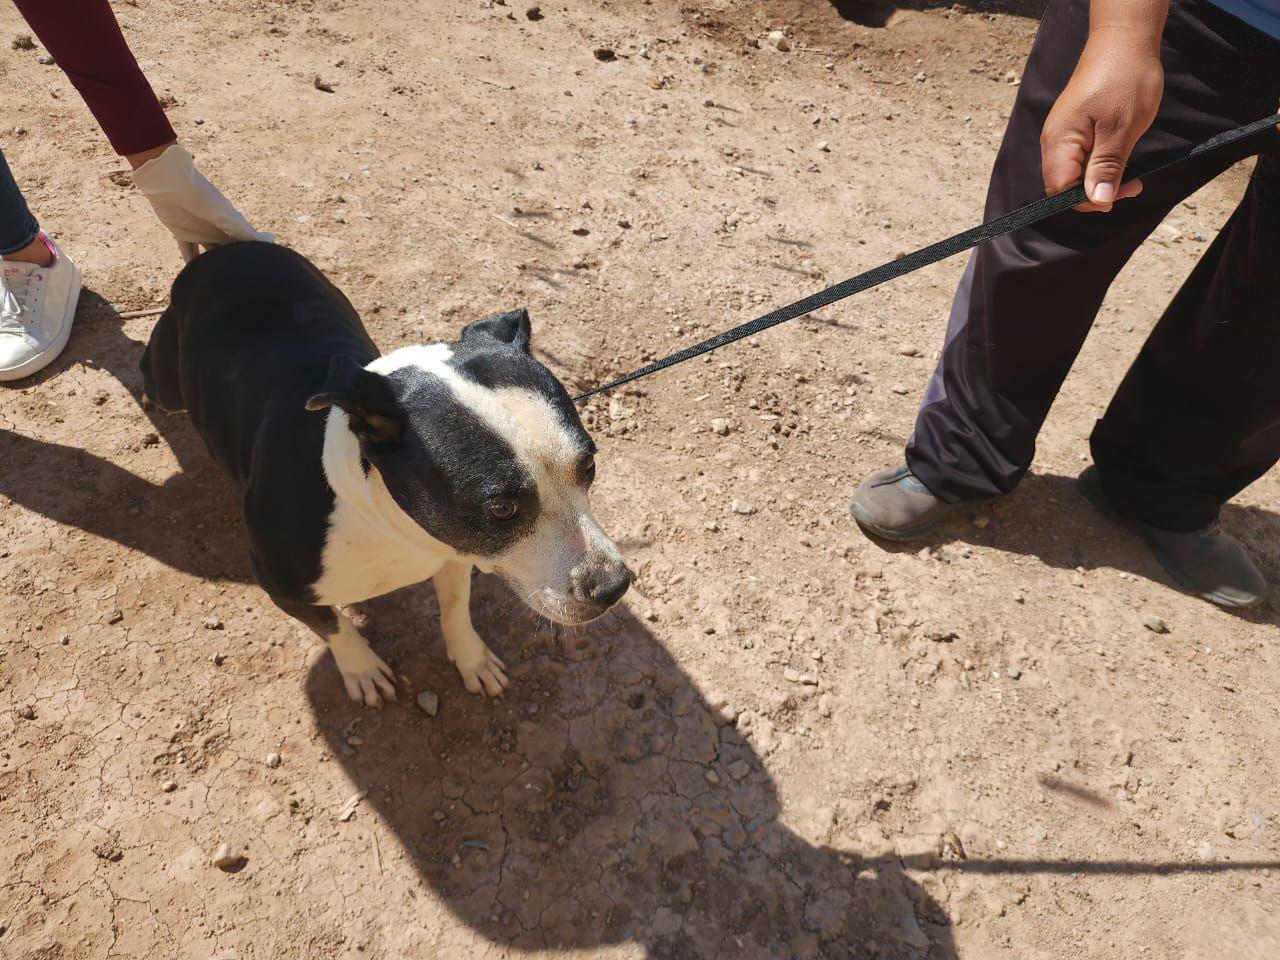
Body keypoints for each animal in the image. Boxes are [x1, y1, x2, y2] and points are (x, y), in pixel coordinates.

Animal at [141, 242, 630, 706]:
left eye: (588, 466)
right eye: (502, 508)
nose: (614, 586)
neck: (379, 519)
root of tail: (228, 250)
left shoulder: (453, 549)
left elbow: (456, 609)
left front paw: (471, 658)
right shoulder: (280, 584)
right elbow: (334, 626)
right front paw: (361, 670)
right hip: (169, 378)